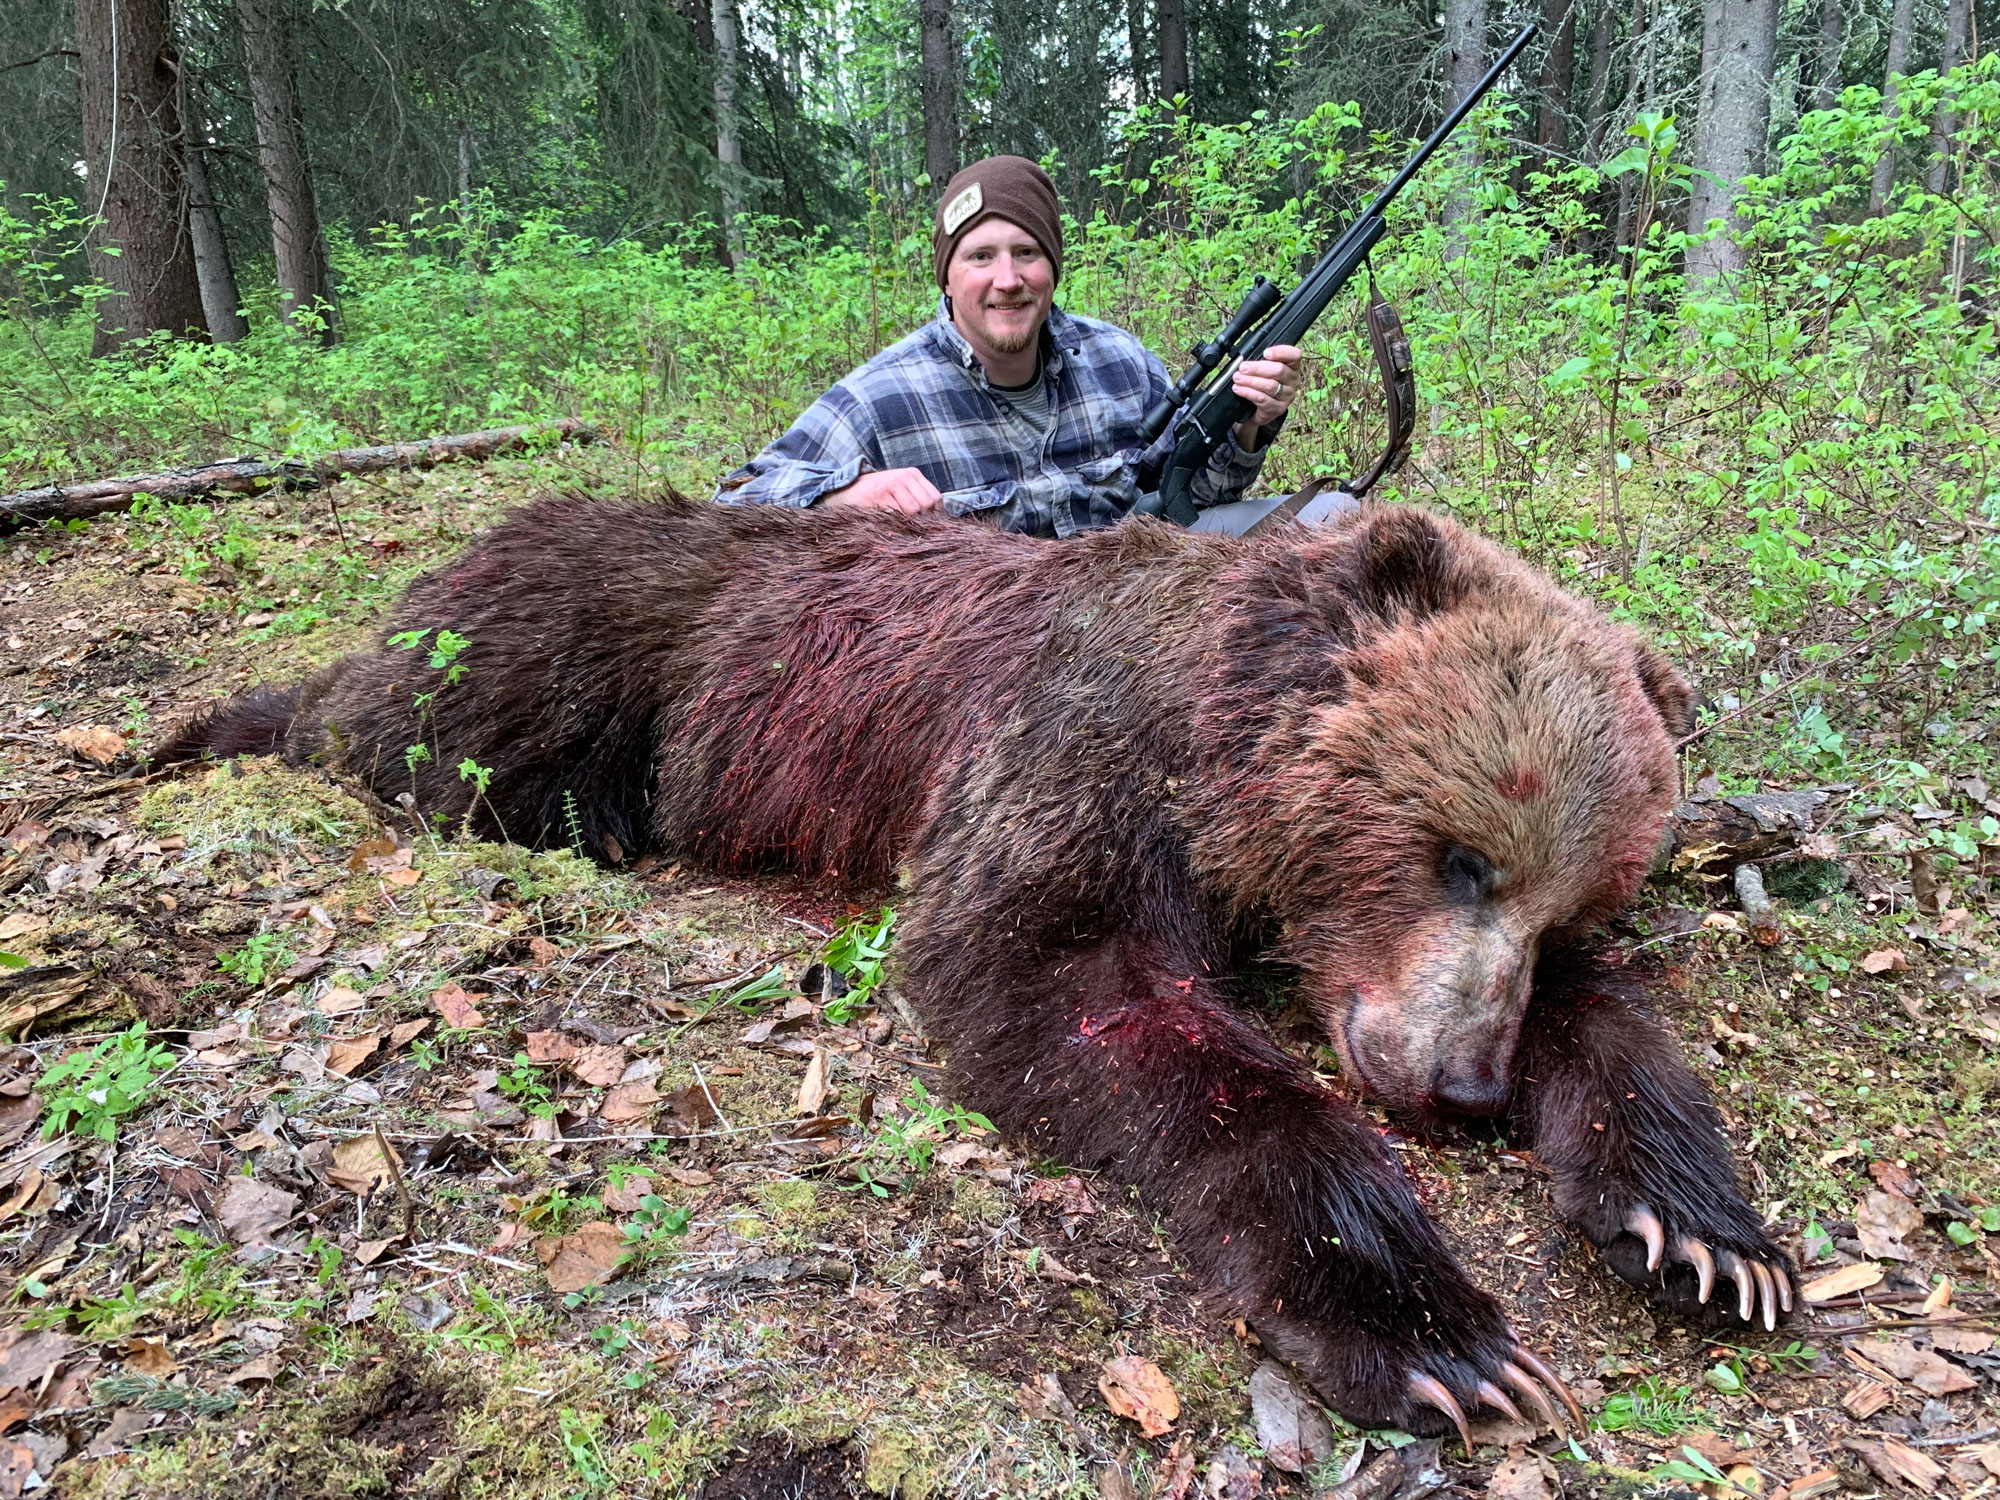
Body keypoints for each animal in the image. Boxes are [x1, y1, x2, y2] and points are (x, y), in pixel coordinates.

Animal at [157, 495, 1792, 1446]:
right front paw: (1429, 1326)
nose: (1456, 1083)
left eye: (1570, 900)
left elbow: (1615, 1028)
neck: (1219, 761)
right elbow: (1065, 985)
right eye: (1459, 852)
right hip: (593, 647)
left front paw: (1707, 1236)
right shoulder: (1076, 767)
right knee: (413, 732)